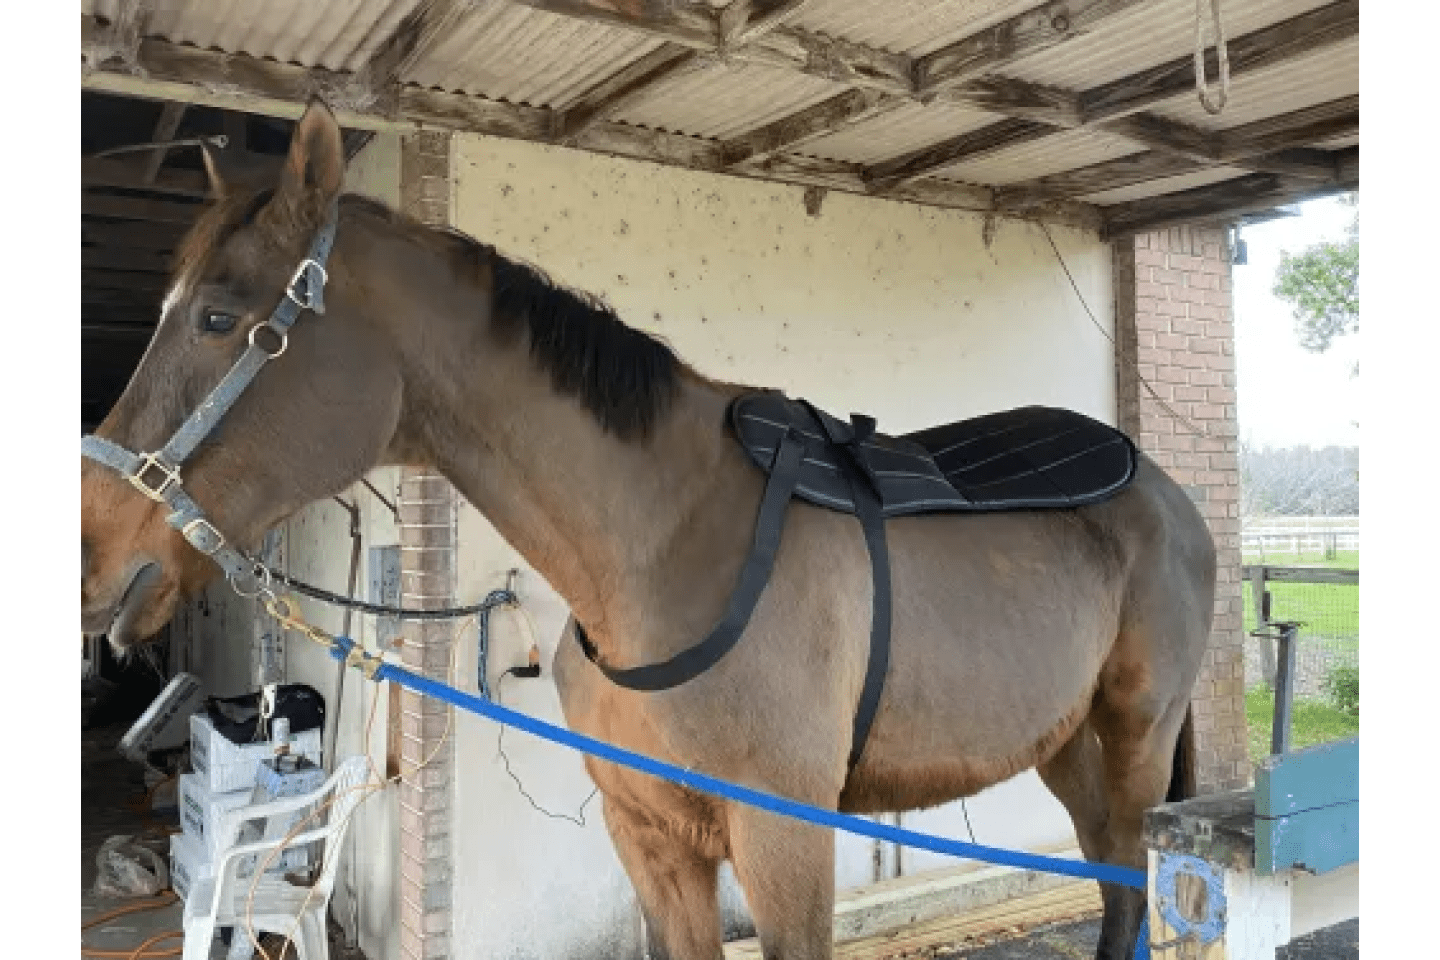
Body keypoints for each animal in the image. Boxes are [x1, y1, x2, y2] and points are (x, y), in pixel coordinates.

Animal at [81, 100, 1214, 960]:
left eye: (219, 317)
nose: (92, 555)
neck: (661, 551)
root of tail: (1162, 491)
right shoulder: (650, 836)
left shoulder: (783, 840)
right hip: (1063, 744)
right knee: (1116, 883)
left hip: (1136, 739)